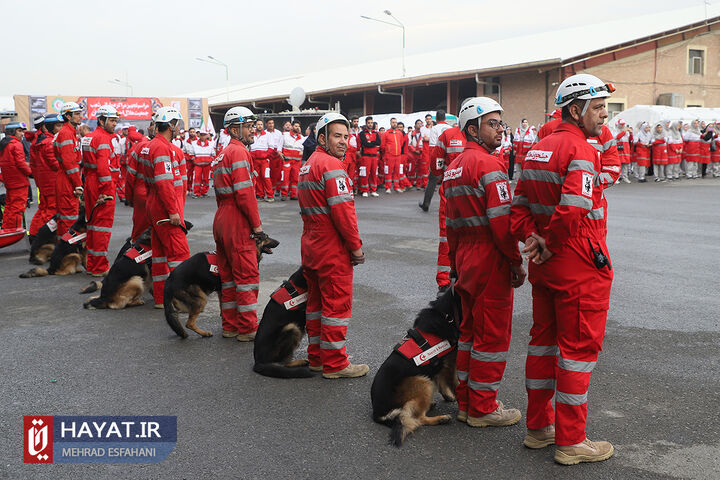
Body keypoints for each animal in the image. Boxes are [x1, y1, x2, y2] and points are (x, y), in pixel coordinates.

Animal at [372, 288, 462, 450]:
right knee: (418, 419)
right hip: (422, 381)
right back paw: (441, 419)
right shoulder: (450, 364)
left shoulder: (440, 367)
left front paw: (448, 396)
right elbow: (455, 384)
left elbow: (442, 382)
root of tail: (378, 414)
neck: (447, 316)